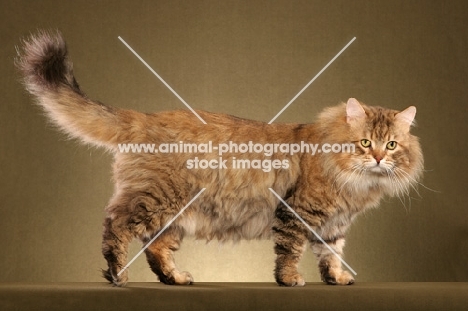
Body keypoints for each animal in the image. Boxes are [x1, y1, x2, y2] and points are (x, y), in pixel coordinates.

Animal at [16, 31, 422, 288]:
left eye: (391, 146)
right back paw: (118, 277)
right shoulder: (296, 212)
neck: (355, 181)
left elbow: (332, 254)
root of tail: (145, 117)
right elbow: (291, 251)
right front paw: (291, 280)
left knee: (155, 247)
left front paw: (336, 279)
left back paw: (175, 279)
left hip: (174, 215)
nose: (378, 159)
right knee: (115, 227)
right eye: (365, 142)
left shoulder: (333, 225)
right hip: (156, 200)